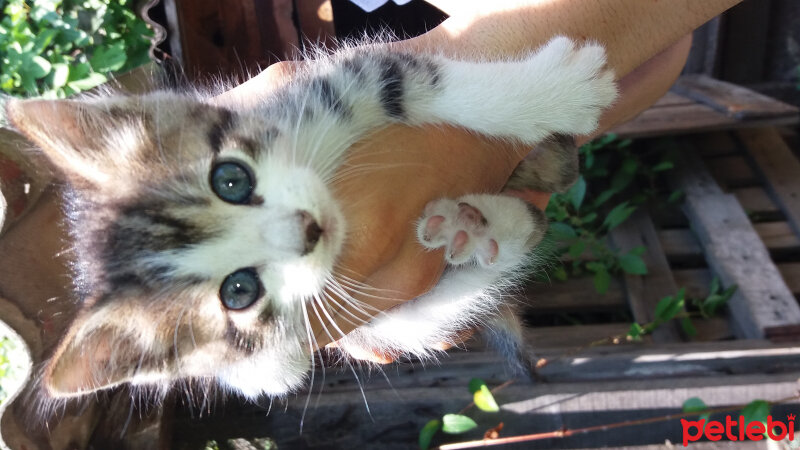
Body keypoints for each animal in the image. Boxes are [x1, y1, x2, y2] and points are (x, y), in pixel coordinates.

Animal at [4, 37, 612, 402]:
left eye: (231, 178)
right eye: (239, 291)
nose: (308, 229)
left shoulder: (317, 91)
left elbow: (409, 81)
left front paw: (552, 91)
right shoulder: (297, 347)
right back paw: (479, 224)